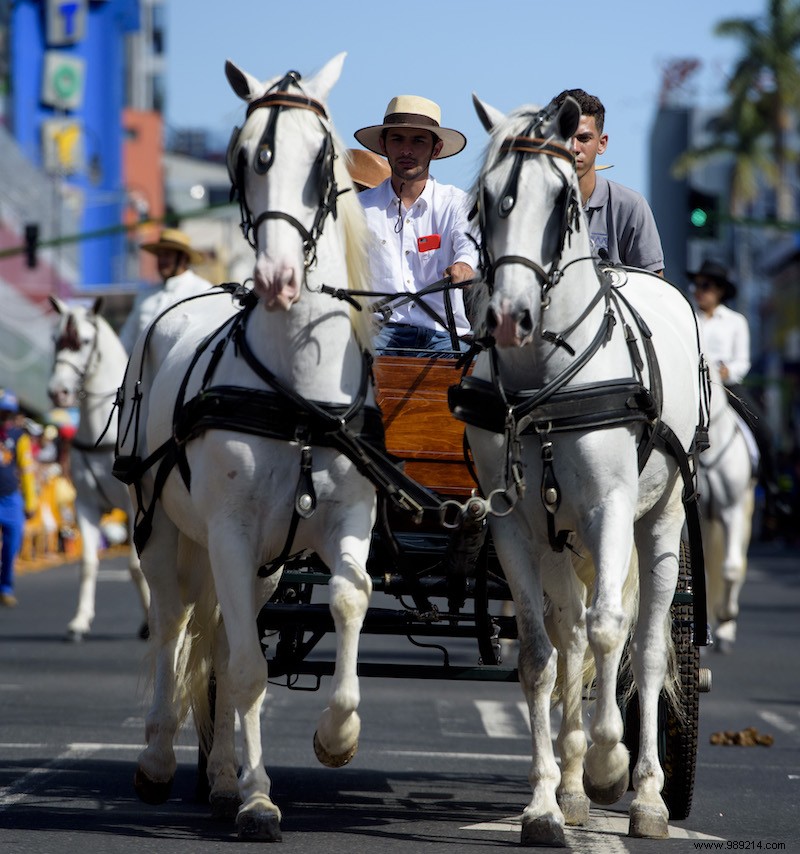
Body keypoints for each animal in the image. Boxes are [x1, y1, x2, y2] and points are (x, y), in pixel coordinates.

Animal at [47, 300, 152, 640]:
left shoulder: (135, 508)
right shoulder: (85, 505)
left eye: (84, 341)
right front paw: (80, 621)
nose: (59, 393)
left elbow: (136, 566)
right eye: (55, 339)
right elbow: (88, 562)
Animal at [114, 53, 380, 844]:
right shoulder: (228, 530)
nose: (278, 278)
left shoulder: (344, 520)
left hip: (266, 561)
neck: (297, 400)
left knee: (222, 630)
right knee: (177, 622)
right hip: (164, 528)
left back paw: (224, 776)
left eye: (323, 160)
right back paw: (162, 761)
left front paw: (337, 735)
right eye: (240, 158)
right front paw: (261, 799)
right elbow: (245, 670)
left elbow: (349, 599)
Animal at [456, 95, 708, 844]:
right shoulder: (513, 524)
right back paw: (570, 786)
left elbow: (610, 634)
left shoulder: (609, 509)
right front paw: (545, 800)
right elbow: (541, 655)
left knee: (642, 642)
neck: (545, 380)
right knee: (570, 636)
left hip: (658, 523)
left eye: (562, 200)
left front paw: (607, 763)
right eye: (483, 200)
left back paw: (645, 791)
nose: (509, 317)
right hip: (558, 537)